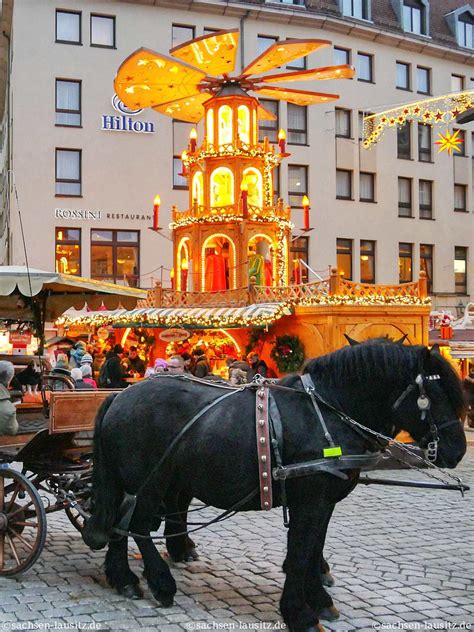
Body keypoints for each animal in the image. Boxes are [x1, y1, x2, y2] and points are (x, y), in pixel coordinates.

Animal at [82, 340, 466, 632]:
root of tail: (120, 396)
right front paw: (300, 613)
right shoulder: (309, 499)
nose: (457, 450)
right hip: (151, 482)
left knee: (118, 524)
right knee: (138, 527)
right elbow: (300, 552)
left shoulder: (323, 500)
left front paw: (319, 597)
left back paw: (124, 578)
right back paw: (161, 583)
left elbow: (312, 547)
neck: (326, 412)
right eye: (431, 395)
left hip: (137, 482)